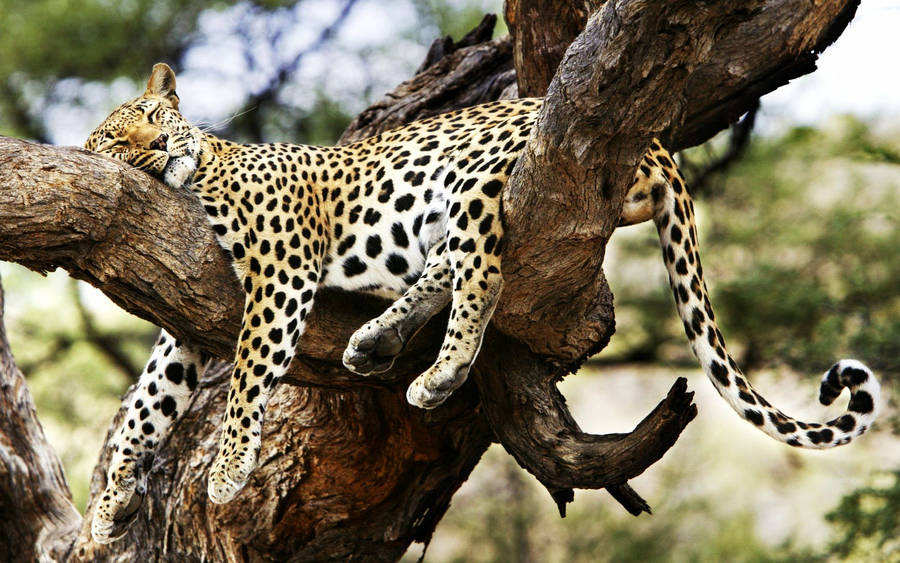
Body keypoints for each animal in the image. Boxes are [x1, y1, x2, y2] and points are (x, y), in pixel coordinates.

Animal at [84, 63, 880, 543]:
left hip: (472, 178)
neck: (201, 173)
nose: (158, 146)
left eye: (155, 115)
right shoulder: (185, 321)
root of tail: (656, 142)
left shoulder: (281, 271)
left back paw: (437, 372)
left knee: (484, 274)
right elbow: (147, 404)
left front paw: (225, 470)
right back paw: (377, 340)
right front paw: (108, 504)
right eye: (117, 141)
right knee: (449, 266)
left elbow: (249, 376)